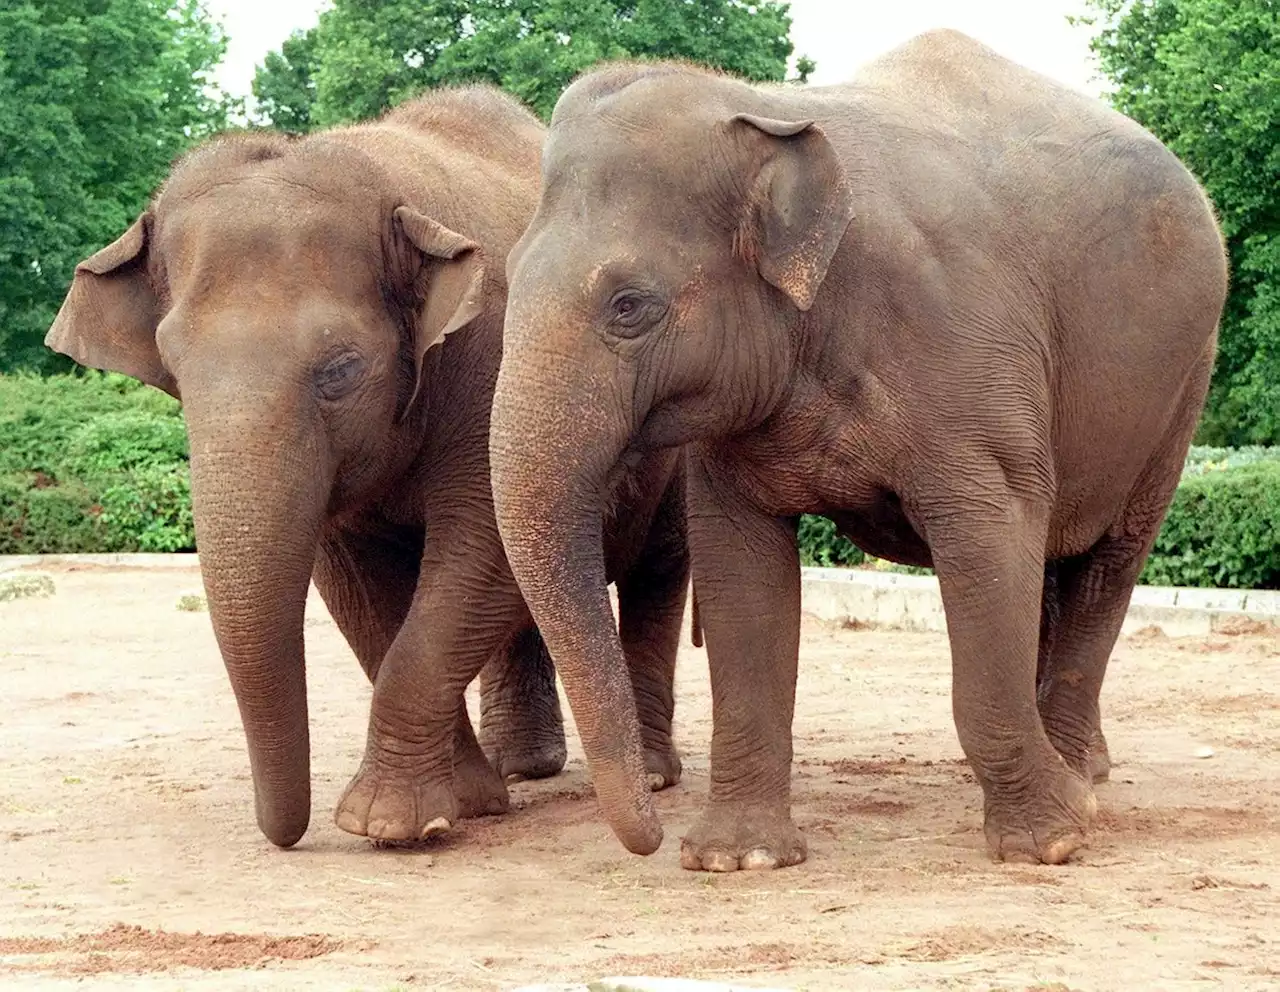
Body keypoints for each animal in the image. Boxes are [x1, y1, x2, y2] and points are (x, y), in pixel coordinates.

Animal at [45, 85, 691, 849]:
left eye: (341, 369)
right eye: (173, 370)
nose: (285, 836)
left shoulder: (495, 354)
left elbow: (483, 548)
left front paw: (389, 822)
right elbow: (363, 594)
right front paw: (465, 804)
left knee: (658, 575)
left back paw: (651, 775)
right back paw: (521, 769)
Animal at [483, 29, 1223, 870]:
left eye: (629, 305)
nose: (653, 832)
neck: (770, 109)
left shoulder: (965, 351)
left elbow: (991, 531)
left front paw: (1052, 842)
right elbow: (739, 565)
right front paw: (739, 859)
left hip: (1181, 387)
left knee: (1109, 561)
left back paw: (1079, 780)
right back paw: (1080, 768)